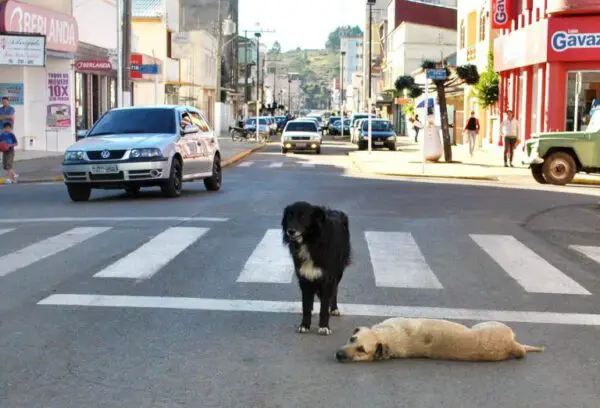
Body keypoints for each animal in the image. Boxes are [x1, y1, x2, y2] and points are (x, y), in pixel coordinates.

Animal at [282, 201, 352, 334]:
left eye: (303, 217)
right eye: (289, 216)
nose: (290, 231)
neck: (310, 242)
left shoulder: (327, 278)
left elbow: (324, 307)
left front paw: (324, 327)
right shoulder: (304, 278)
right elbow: (306, 305)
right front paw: (305, 325)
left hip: (338, 271)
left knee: (334, 290)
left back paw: (334, 309)